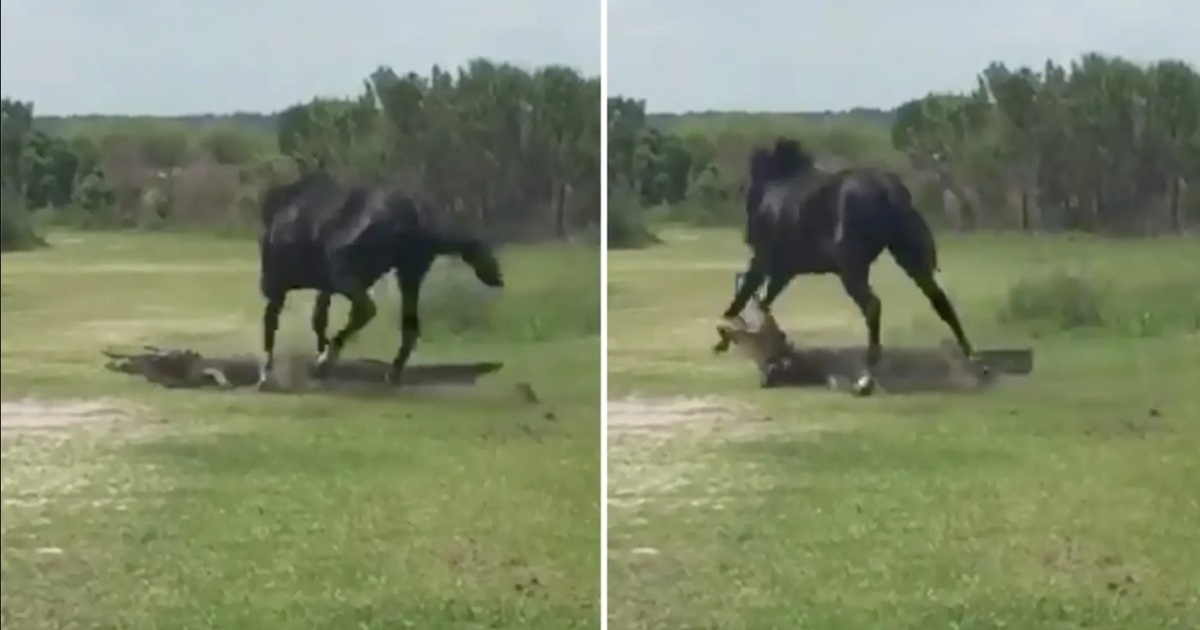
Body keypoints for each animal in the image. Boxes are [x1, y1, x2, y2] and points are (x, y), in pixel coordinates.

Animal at [260, 172, 504, 388]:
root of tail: (415, 216)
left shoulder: (278, 285)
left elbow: (273, 326)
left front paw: (267, 375)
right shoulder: (322, 287)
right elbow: (318, 319)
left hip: (345, 272)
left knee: (366, 309)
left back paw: (327, 361)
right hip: (408, 274)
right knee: (408, 327)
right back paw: (390, 372)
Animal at [715, 138, 979, 393]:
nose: (746, 234)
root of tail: (890, 191)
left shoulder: (763, 261)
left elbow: (740, 301)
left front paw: (723, 338)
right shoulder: (783, 271)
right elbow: (762, 304)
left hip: (852, 269)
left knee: (873, 306)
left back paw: (867, 373)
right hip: (908, 258)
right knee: (938, 299)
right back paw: (969, 355)